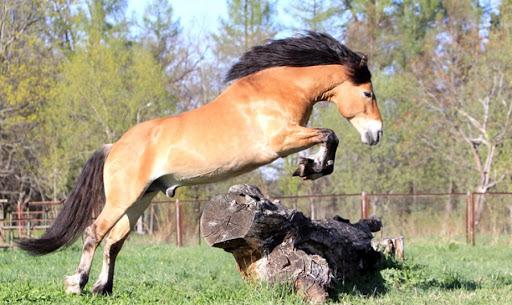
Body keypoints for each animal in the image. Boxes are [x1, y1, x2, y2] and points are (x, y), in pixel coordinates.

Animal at [18, 32, 382, 294]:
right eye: (368, 94)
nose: (375, 134)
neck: (275, 91)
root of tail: (115, 145)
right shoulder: (279, 142)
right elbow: (330, 135)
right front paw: (311, 167)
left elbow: (328, 138)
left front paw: (311, 166)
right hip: (123, 198)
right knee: (95, 232)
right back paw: (77, 284)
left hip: (140, 200)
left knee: (114, 241)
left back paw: (102, 288)